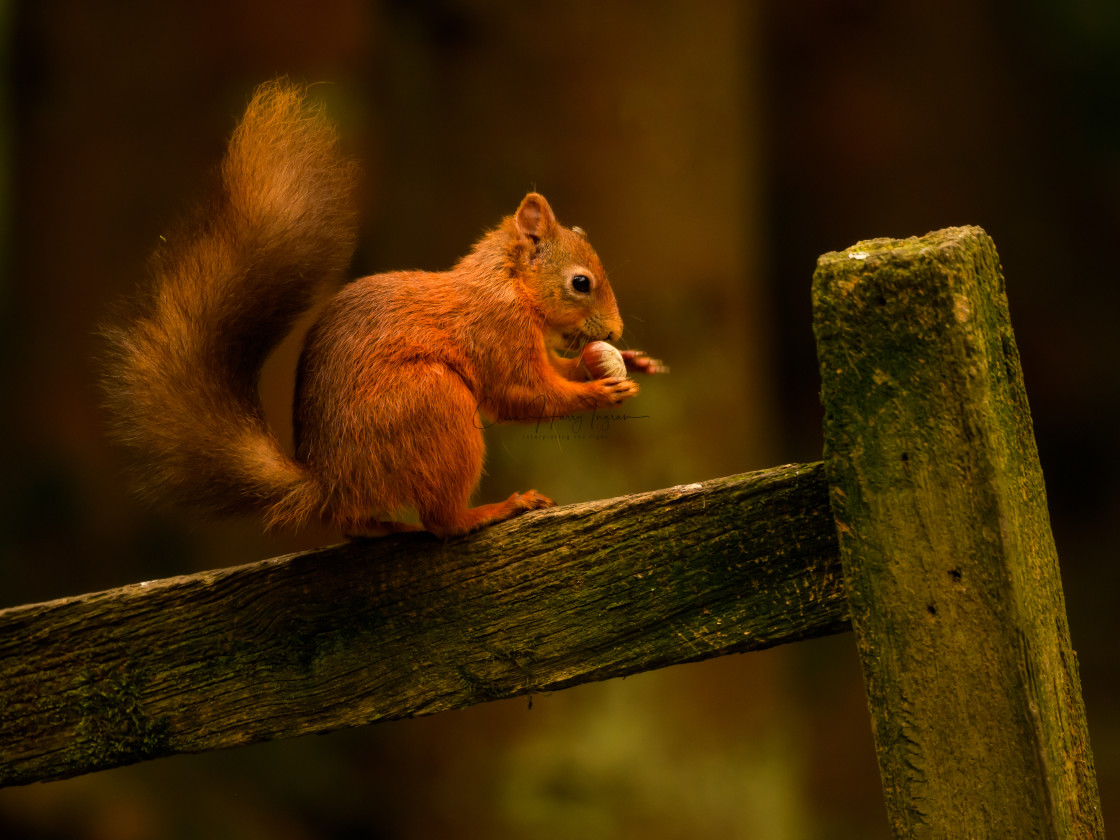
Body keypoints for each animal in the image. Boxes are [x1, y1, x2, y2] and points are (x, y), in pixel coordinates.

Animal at [100, 80, 658, 539]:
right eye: (580, 283)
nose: (615, 331)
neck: (508, 286)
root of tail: (329, 485)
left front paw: (627, 362)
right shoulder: (495, 333)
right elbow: (525, 394)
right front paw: (600, 391)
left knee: (364, 526)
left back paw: (384, 528)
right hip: (432, 404)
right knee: (441, 522)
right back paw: (493, 510)